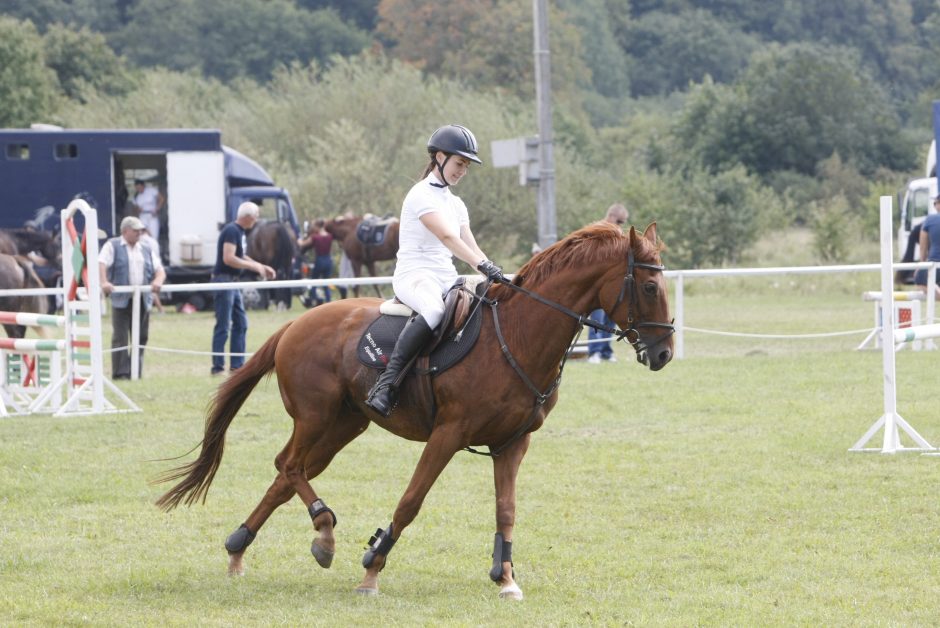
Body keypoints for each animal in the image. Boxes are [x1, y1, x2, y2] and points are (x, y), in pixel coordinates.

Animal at [154, 221, 672, 600]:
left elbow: (506, 509)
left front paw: (505, 577)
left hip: (345, 425)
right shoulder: (448, 434)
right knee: (290, 465)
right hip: (316, 419)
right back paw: (323, 533)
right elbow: (410, 502)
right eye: (649, 287)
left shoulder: (512, 442)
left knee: (286, 475)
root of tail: (296, 323)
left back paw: (242, 548)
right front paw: (372, 568)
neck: (519, 335)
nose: (664, 353)